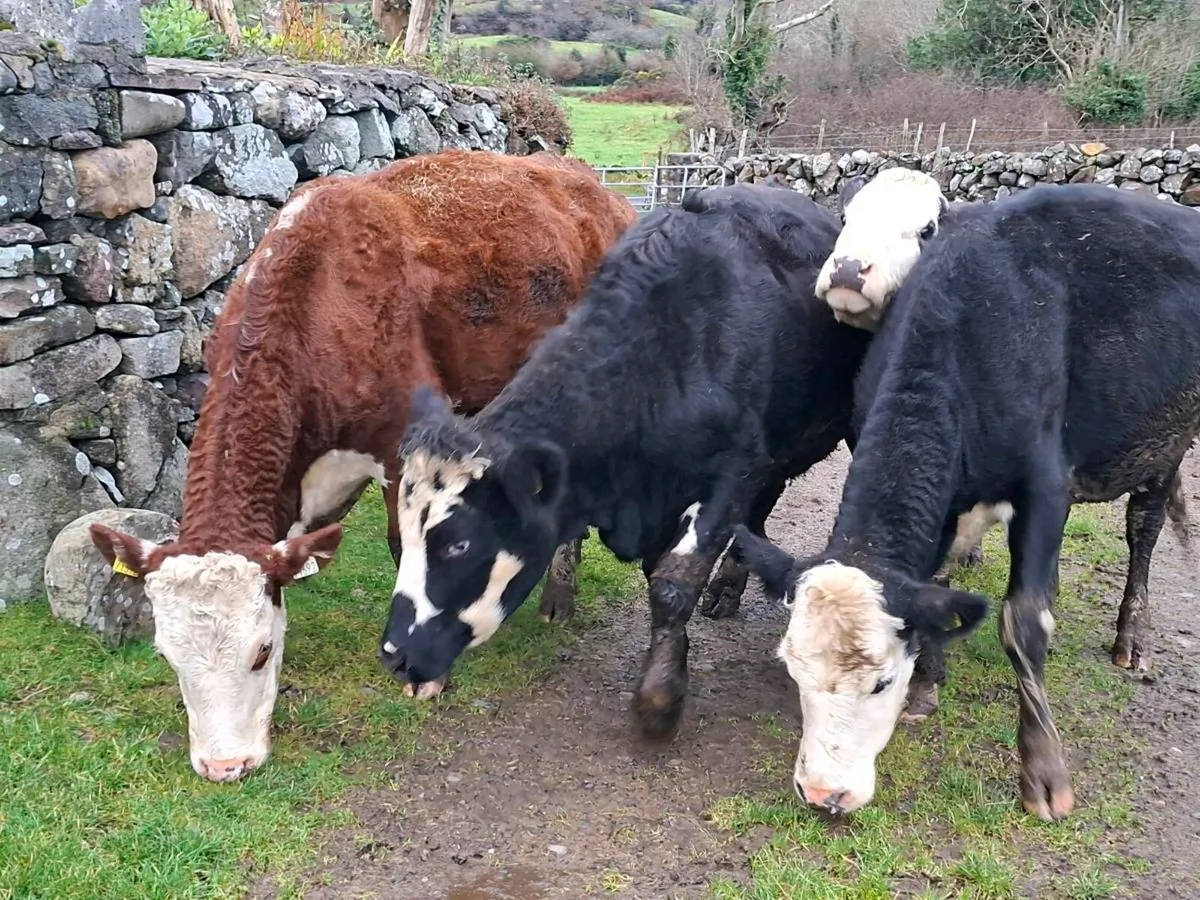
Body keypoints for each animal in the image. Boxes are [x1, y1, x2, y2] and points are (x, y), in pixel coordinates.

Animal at [86, 149, 637, 783]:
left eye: (261, 651)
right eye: (166, 654)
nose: (224, 766)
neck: (318, 306)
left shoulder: (408, 452)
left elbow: (407, 549)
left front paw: (426, 673)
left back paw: (558, 600)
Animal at [733, 179, 1199, 823]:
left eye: (881, 682)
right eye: (794, 670)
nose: (824, 793)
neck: (967, 330)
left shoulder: (1046, 486)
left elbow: (1024, 621)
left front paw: (1043, 774)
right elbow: (935, 583)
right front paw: (929, 684)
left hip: (1166, 442)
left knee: (1143, 529)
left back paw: (1132, 638)